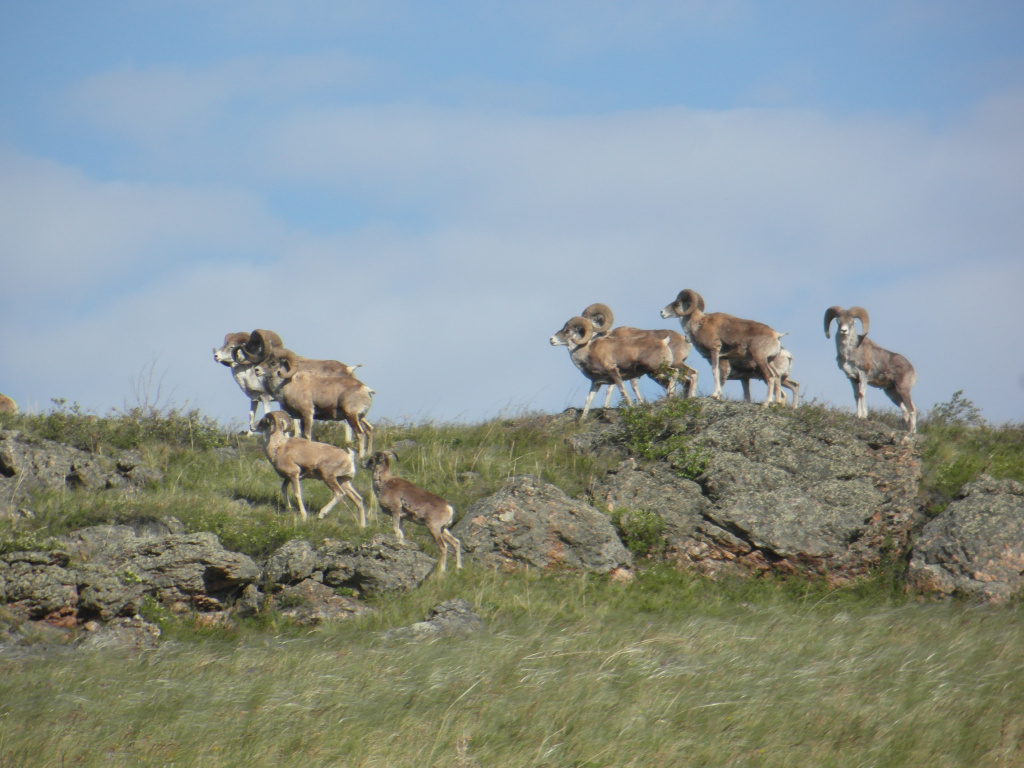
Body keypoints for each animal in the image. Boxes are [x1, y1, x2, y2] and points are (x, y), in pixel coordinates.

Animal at [548, 313, 684, 421]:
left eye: (567, 331)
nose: (551, 339)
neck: (587, 353)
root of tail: (664, 342)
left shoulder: (614, 373)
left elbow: (623, 392)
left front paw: (631, 408)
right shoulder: (596, 383)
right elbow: (589, 399)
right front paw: (581, 420)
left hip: (656, 369)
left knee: (675, 373)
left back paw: (670, 399)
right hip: (655, 371)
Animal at [823, 309, 921, 438]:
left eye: (851, 322)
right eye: (839, 321)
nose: (843, 331)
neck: (850, 352)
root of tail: (912, 369)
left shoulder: (863, 374)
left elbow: (861, 393)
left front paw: (863, 416)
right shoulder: (853, 379)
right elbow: (856, 395)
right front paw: (858, 415)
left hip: (903, 390)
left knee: (912, 409)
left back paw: (912, 432)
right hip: (891, 393)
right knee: (906, 410)